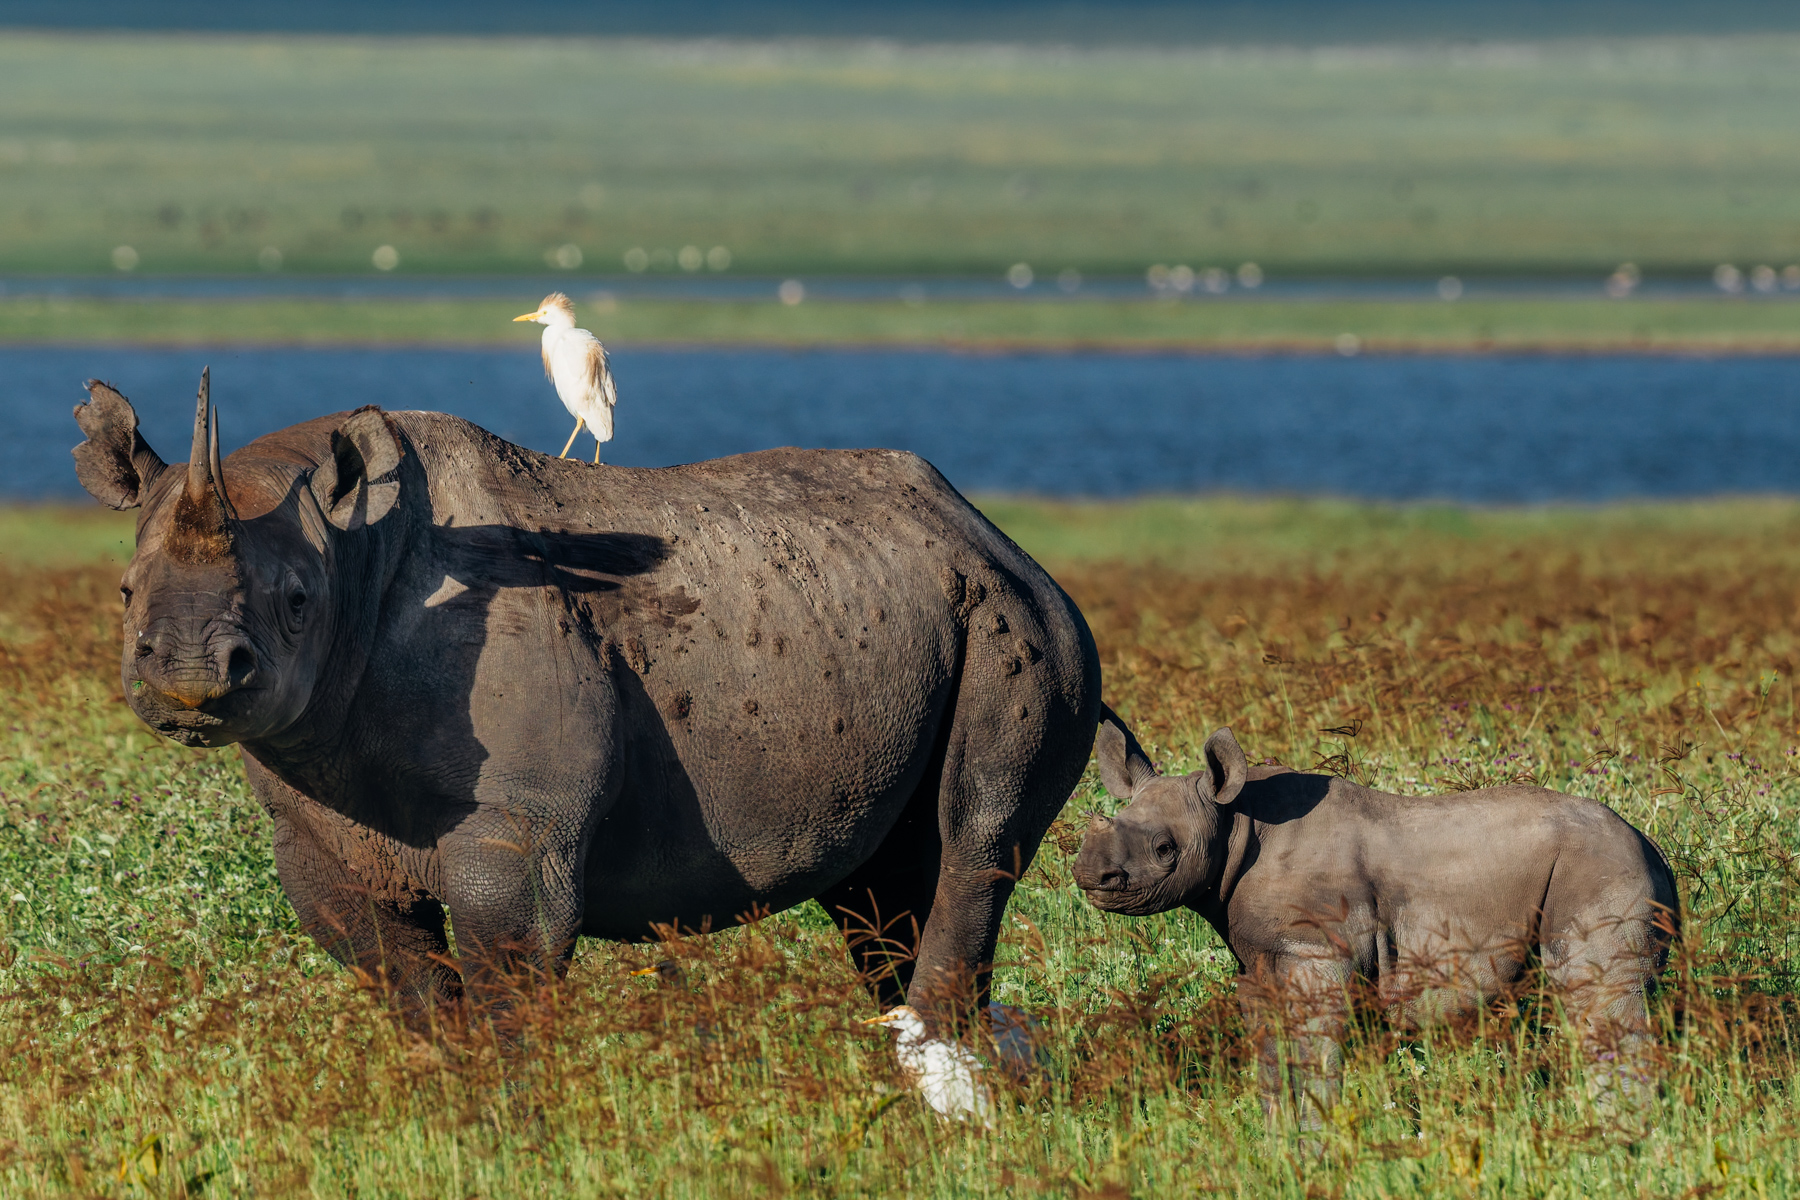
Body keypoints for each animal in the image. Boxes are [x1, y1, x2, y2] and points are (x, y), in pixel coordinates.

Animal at [72, 371, 1101, 1031]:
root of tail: (986, 526)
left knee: (976, 838)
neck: (355, 557)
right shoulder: (317, 827)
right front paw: (445, 1106)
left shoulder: (520, 822)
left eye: (296, 603)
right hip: (901, 611)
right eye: (123, 595)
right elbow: (410, 987)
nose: (189, 674)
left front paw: (514, 1121)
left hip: (1020, 615)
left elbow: (508, 967)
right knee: (882, 891)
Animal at [1073, 720, 1678, 1132]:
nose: (1089, 873)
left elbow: (1316, 1052)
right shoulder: (1257, 963)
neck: (1234, 822)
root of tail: (1651, 846)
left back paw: (1621, 1138)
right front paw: (1277, 1146)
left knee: (1596, 993)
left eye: (1164, 849)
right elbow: (1270, 1057)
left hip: (1599, 865)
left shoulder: (1317, 951)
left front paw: (1316, 1147)